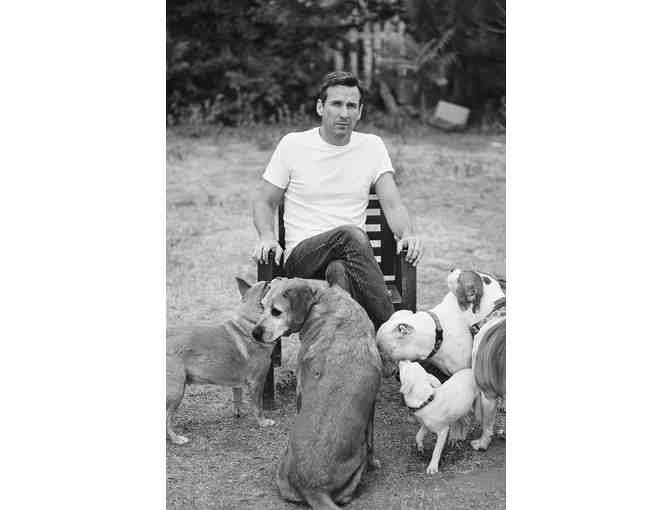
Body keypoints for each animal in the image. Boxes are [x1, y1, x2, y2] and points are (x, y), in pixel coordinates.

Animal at [166, 278, 276, 445]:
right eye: (266, 286)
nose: (275, 279)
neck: (249, 322)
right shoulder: (257, 382)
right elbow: (258, 406)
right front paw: (262, 422)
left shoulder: (238, 384)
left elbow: (237, 399)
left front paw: (238, 414)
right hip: (176, 392)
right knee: (166, 420)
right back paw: (176, 439)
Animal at [252, 277, 381, 510]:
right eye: (262, 306)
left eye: (276, 311)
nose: (254, 333)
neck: (323, 299)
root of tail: (313, 488)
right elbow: (372, 438)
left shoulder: (300, 390)